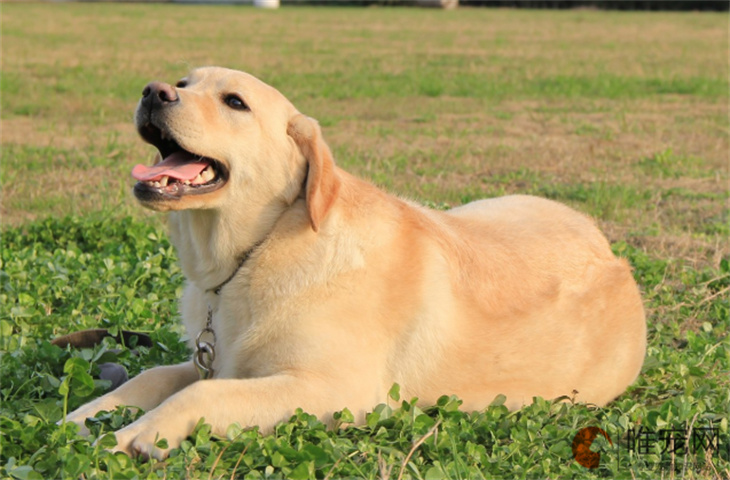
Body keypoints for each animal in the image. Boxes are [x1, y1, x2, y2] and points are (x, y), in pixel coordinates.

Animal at [64, 65, 644, 460]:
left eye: (235, 102)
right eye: (185, 80)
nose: (154, 91)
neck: (259, 250)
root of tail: (613, 254)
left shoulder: (333, 390)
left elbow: (201, 394)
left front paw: (137, 433)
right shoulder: (218, 358)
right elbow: (154, 375)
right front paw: (85, 415)